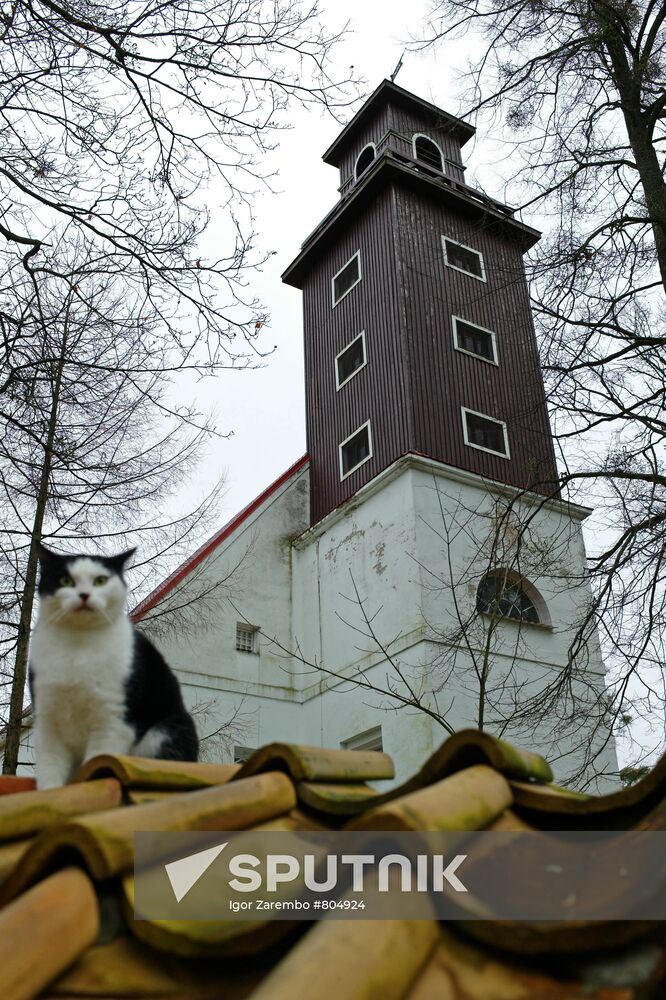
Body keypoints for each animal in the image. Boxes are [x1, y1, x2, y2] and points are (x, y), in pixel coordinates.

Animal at [30, 548, 197, 788]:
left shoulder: (112, 721)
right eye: (65, 580)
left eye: (100, 580)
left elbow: (97, 761)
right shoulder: (47, 720)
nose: (84, 594)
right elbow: (49, 771)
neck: (77, 646)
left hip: (169, 729)